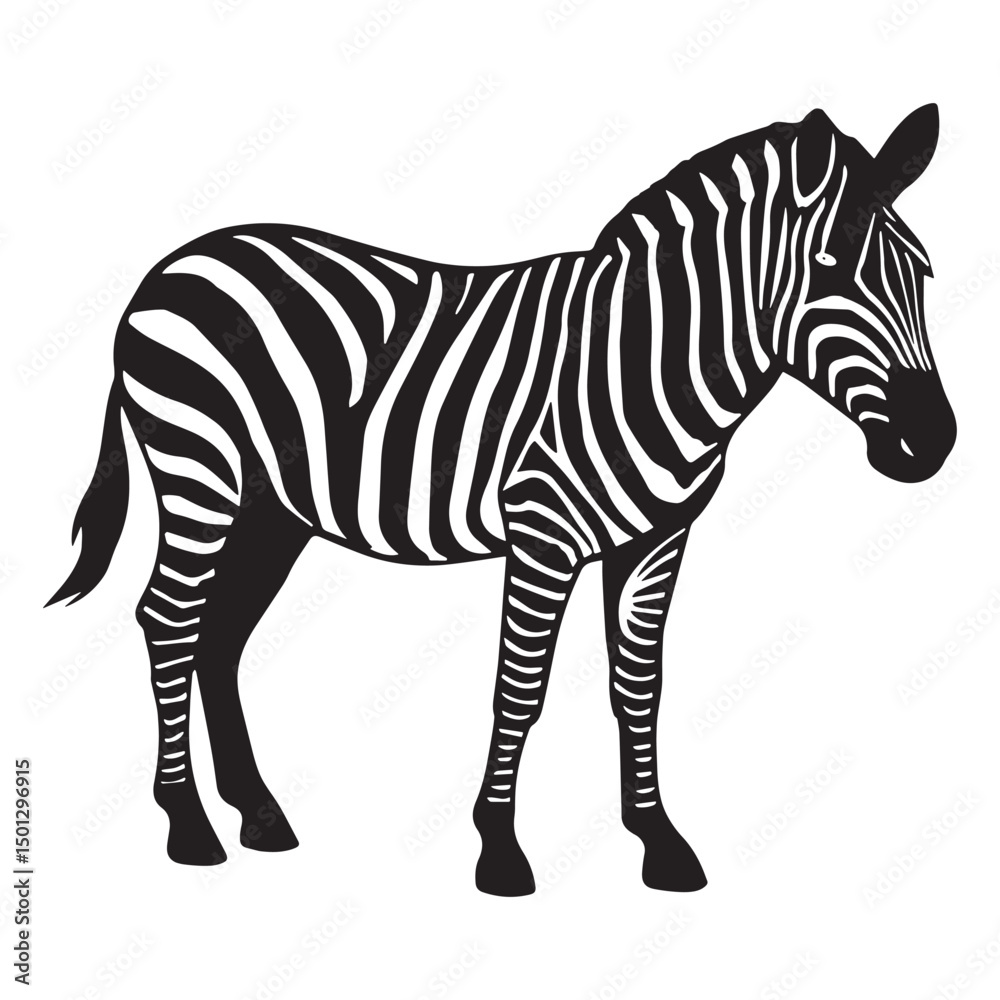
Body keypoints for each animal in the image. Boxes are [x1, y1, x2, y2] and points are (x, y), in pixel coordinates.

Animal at [49, 104, 955, 895]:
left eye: (921, 272)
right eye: (829, 270)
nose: (934, 442)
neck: (644, 359)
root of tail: (175, 264)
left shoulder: (655, 541)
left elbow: (641, 685)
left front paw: (658, 842)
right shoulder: (542, 531)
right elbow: (520, 688)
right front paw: (500, 851)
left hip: (274, 509)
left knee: (221, 633)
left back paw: (259, 815)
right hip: (199, 469)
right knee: (171, 619)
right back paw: (189, 826)